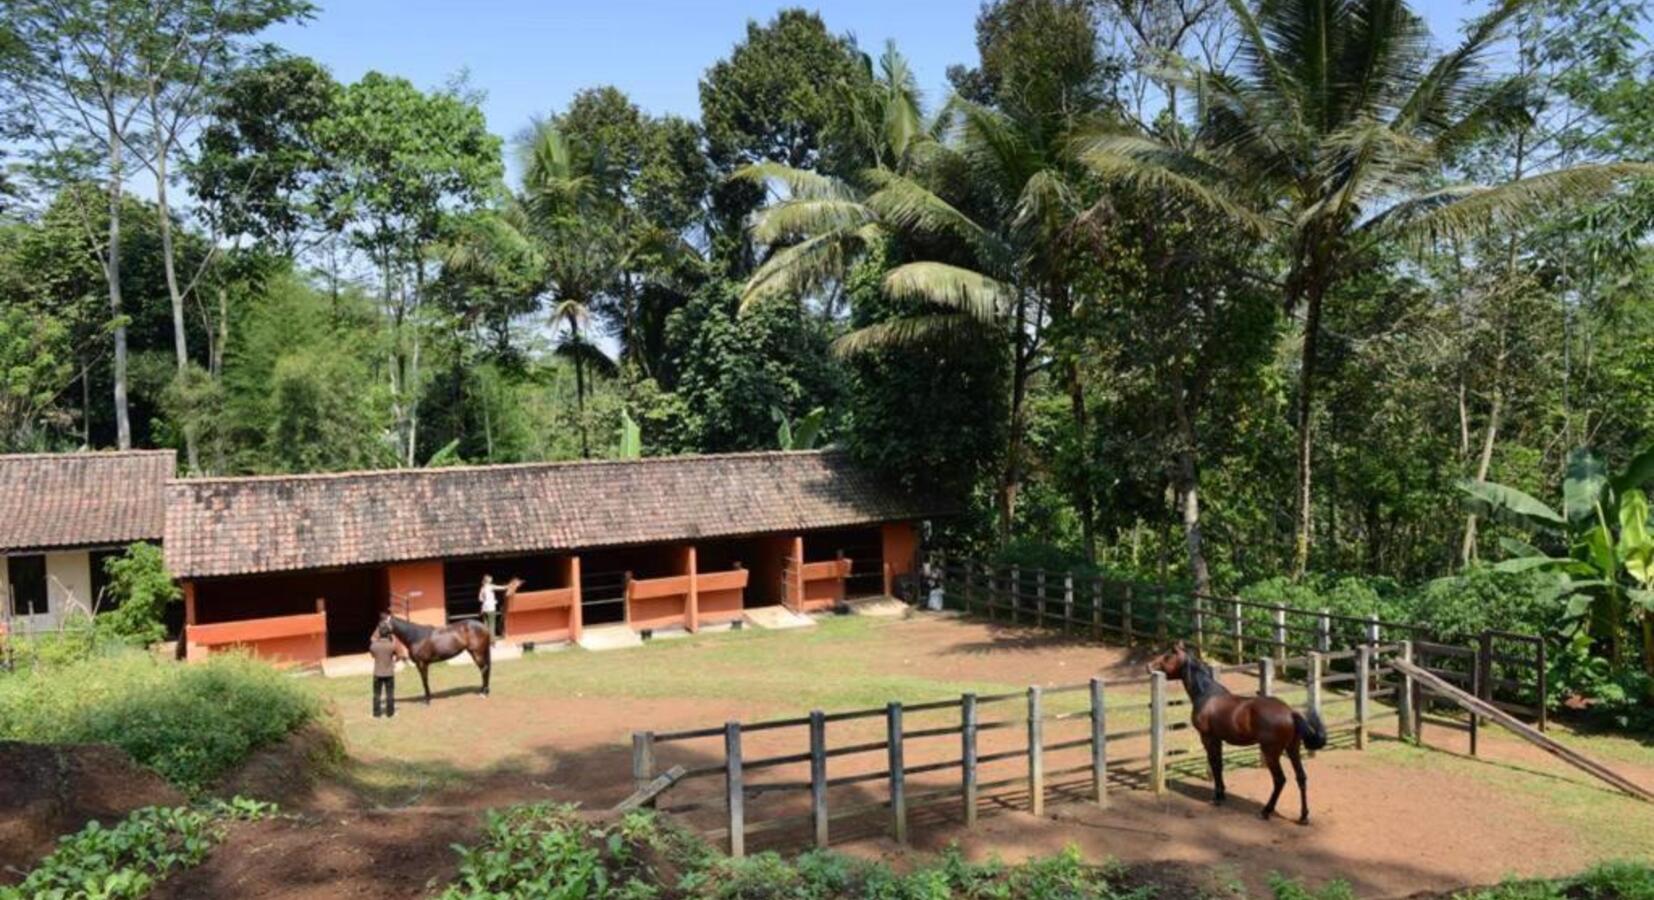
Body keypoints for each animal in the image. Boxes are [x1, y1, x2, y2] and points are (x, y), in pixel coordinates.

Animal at [1144, 638, 1323, 823]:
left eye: (1168, 655)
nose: (1149, 666)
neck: (1206, 694)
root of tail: (1290, 713)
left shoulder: (1208, 738)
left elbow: (1215, 764)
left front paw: (1217, 798)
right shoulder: (1218, 739)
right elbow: (1220, 765)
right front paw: (1222, 794)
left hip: (1271, 752)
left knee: (1280, 779)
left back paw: (1266, 811)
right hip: (1293, 749)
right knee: (1301, 777)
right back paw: (1303, 816)